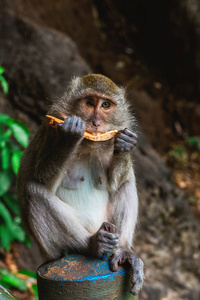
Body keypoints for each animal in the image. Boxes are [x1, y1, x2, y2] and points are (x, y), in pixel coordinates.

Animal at [18, 73, 144, 296]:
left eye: (105, 105)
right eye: (90, 103)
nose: (96, 123)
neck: (89, 144)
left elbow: (116, 183)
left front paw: (125, 145)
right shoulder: (50, 127)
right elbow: (40, 179)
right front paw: (70, 136)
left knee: (127, 183)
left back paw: (123, 251)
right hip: (53, 252)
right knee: (33, 192)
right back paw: (92, 245)